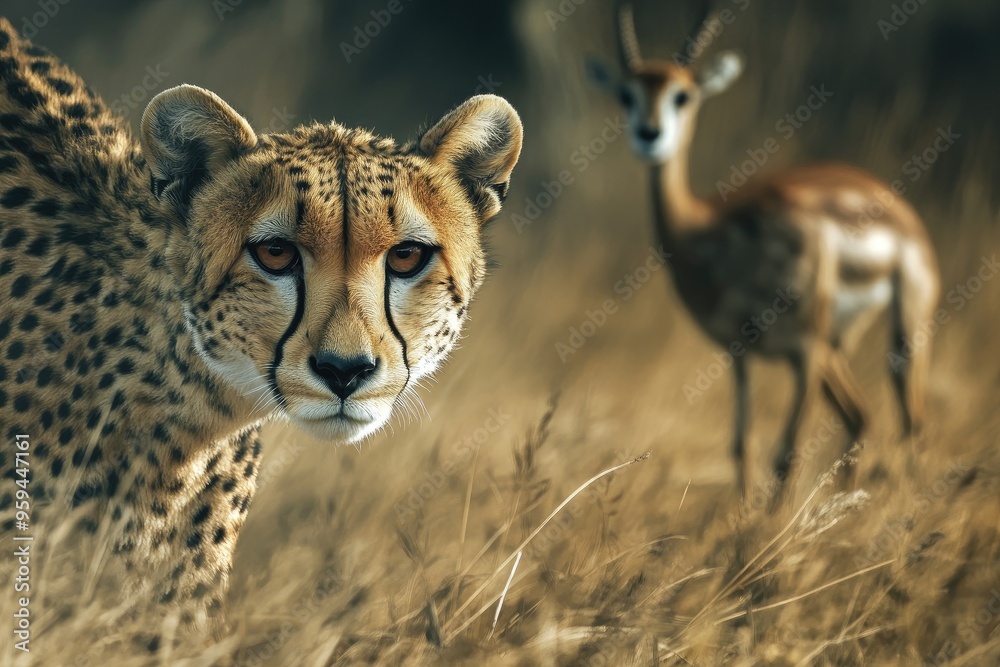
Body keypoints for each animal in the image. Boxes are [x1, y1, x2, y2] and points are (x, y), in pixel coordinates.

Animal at [587, 4, 940, 502]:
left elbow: (787, 452)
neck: (711, 230)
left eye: (683, 95)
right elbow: (742, 444)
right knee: (862, 416)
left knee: (910, 420)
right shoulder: (739, 352)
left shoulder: (803, 349)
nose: (649, 135)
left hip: (896, 335)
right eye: (625, 93)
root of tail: (904, 215)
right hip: (835, 348)